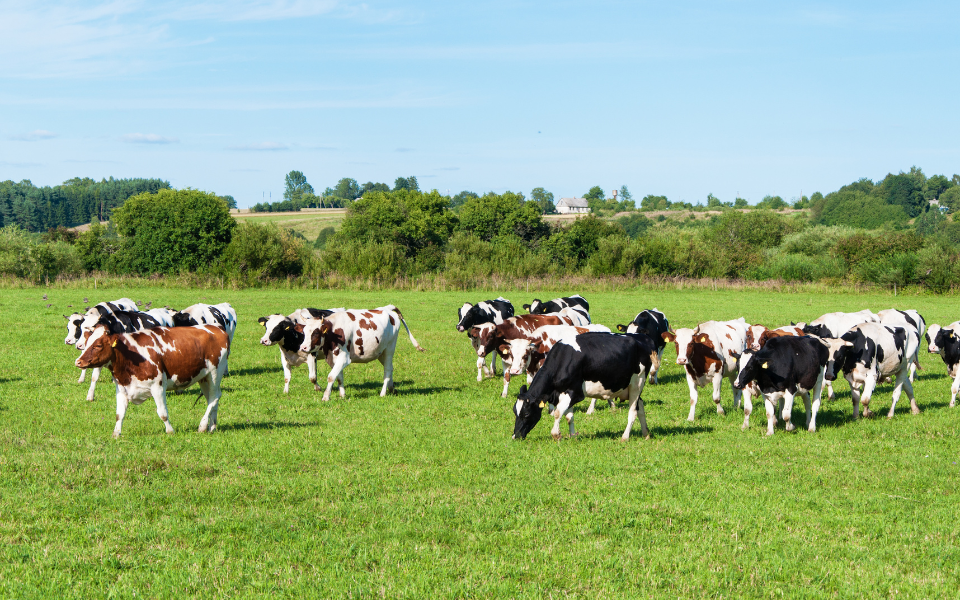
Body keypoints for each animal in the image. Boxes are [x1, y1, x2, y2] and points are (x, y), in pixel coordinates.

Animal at [75, 324, 231, 436]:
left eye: (98, 345)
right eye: (86, 343)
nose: (78, 362)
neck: (131, 356)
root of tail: (217, 329)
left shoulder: (158, 386)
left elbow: (162, 413)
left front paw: (170, 431)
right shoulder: (122, 388)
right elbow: (119, 414)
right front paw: (116, 434)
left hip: (215, 373)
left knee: (214, 397)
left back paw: (203, 426)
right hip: (204, 377)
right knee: (212, 399)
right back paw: (212, 426)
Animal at [510, 332, 660, 440]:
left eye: (527, 413)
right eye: (515, 411)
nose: (515, 436)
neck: (564, 359)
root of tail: (644, 338)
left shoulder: (574, 392)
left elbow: (558, 413)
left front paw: (556, 435)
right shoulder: (564, 392)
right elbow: (569, 416)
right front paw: (572, 436)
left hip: (637, 383)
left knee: (633, 411)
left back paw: (625, 437)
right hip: (630, 388)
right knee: (640, 408)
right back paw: (646, 434)